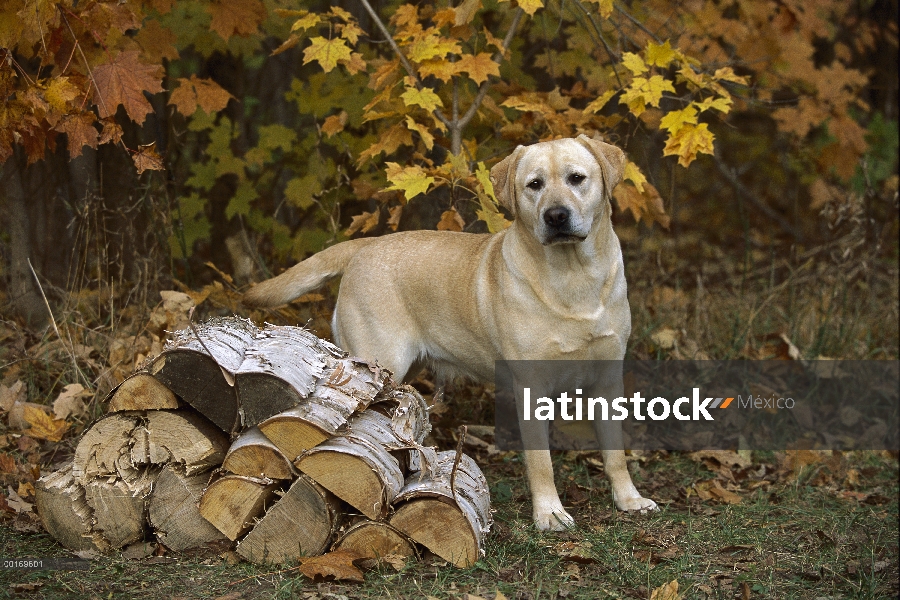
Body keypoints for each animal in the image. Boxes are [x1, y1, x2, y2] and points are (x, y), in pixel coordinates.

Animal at [243, 135, 656, 528]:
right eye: (534, 184)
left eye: (576, 178)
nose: (556, 216)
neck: (574, 278)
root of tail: (366, 245)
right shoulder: (530, 386)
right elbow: (541, 461)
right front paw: (550, 514)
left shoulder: (608, 378)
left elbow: (615, 453)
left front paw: (628, 499)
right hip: (381, 362)